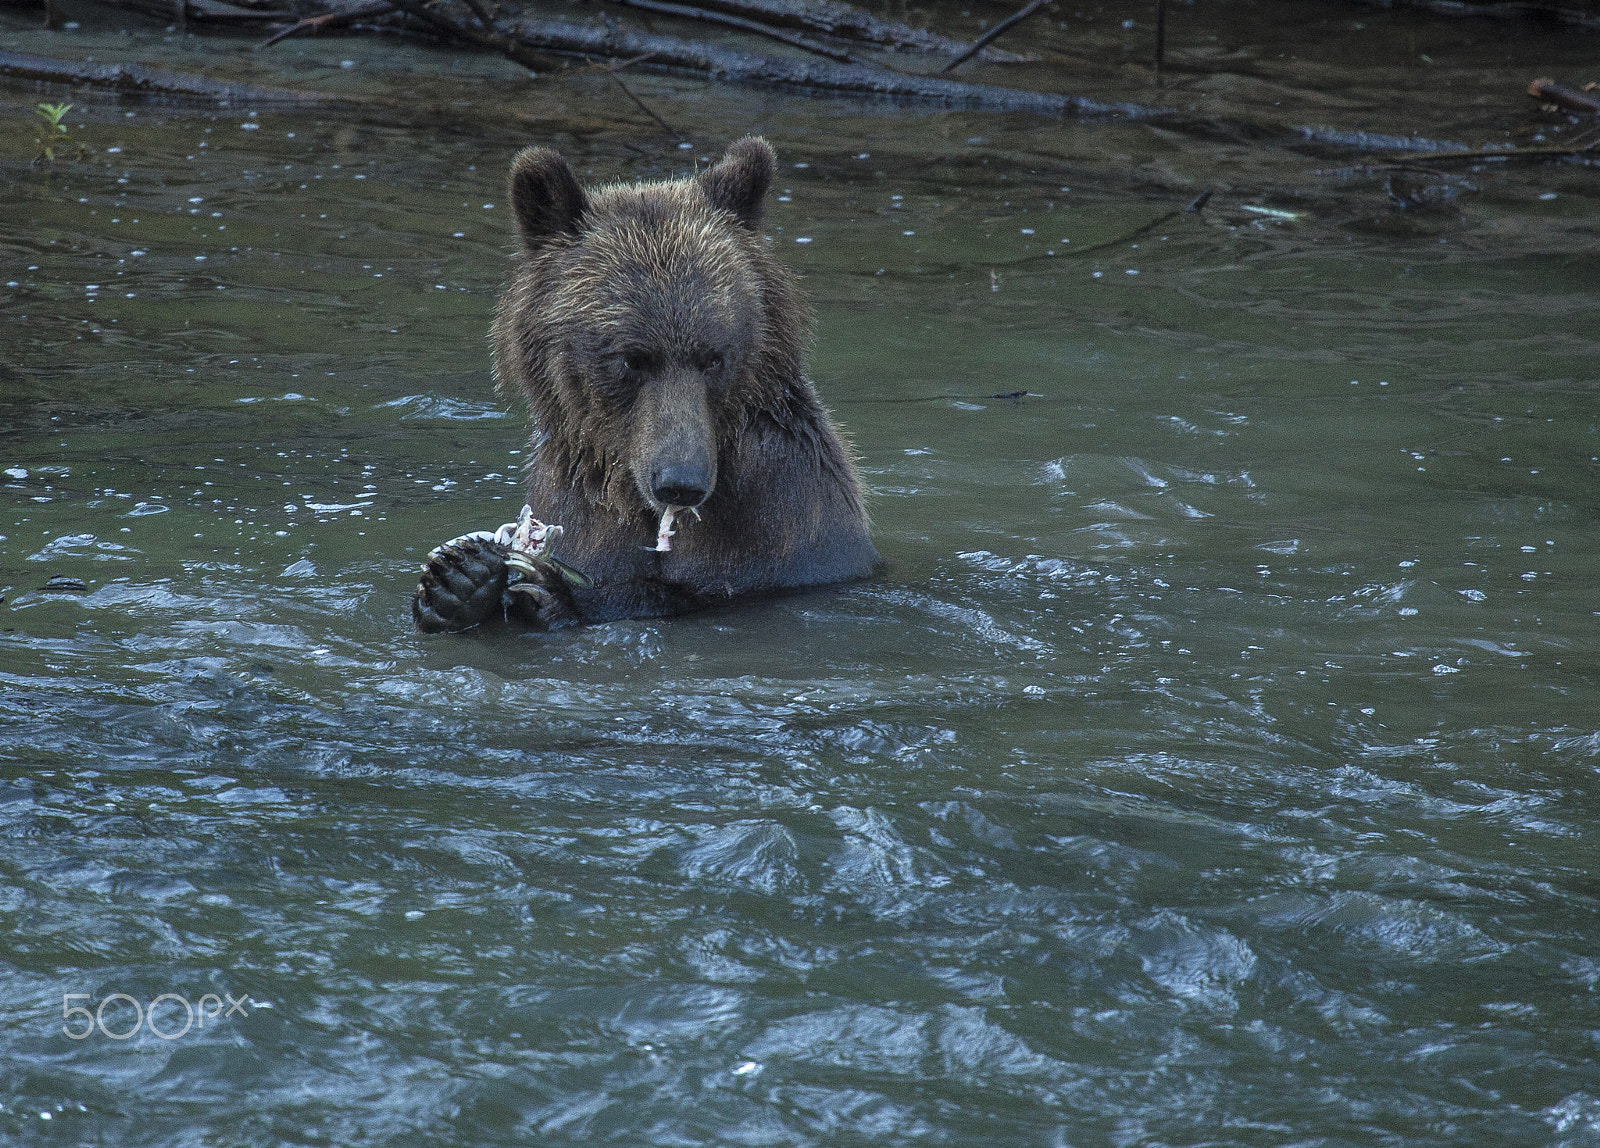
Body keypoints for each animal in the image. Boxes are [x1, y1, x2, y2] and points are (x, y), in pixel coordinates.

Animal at [412, 140, 883, 639]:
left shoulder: (781, 518)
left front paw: (554, 591)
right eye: (633, 358)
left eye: (714, 356)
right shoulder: (577, 505)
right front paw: (457, 578)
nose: (681, 482)